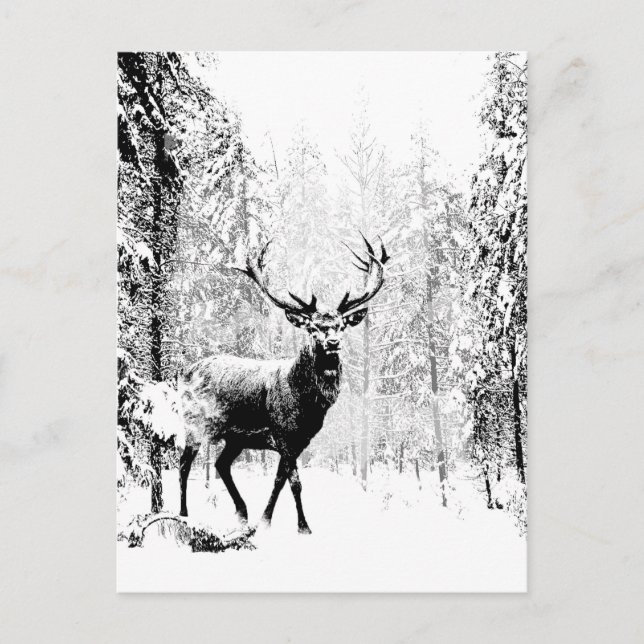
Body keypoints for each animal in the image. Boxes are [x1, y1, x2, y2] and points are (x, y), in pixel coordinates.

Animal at [178, 234, 389, 534]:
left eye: (341, 325)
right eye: (313, 328)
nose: (333, 343)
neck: (306, 405)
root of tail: (185, 372)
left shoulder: (298, 440)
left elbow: (279, 480)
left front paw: (265, 521)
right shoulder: (283, 434)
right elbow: (295, 482)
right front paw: (303, 526)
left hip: (235, 438)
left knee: (221, 464)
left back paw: (242, 512)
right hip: (194, 423)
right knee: (184, 465)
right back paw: (183, 514)